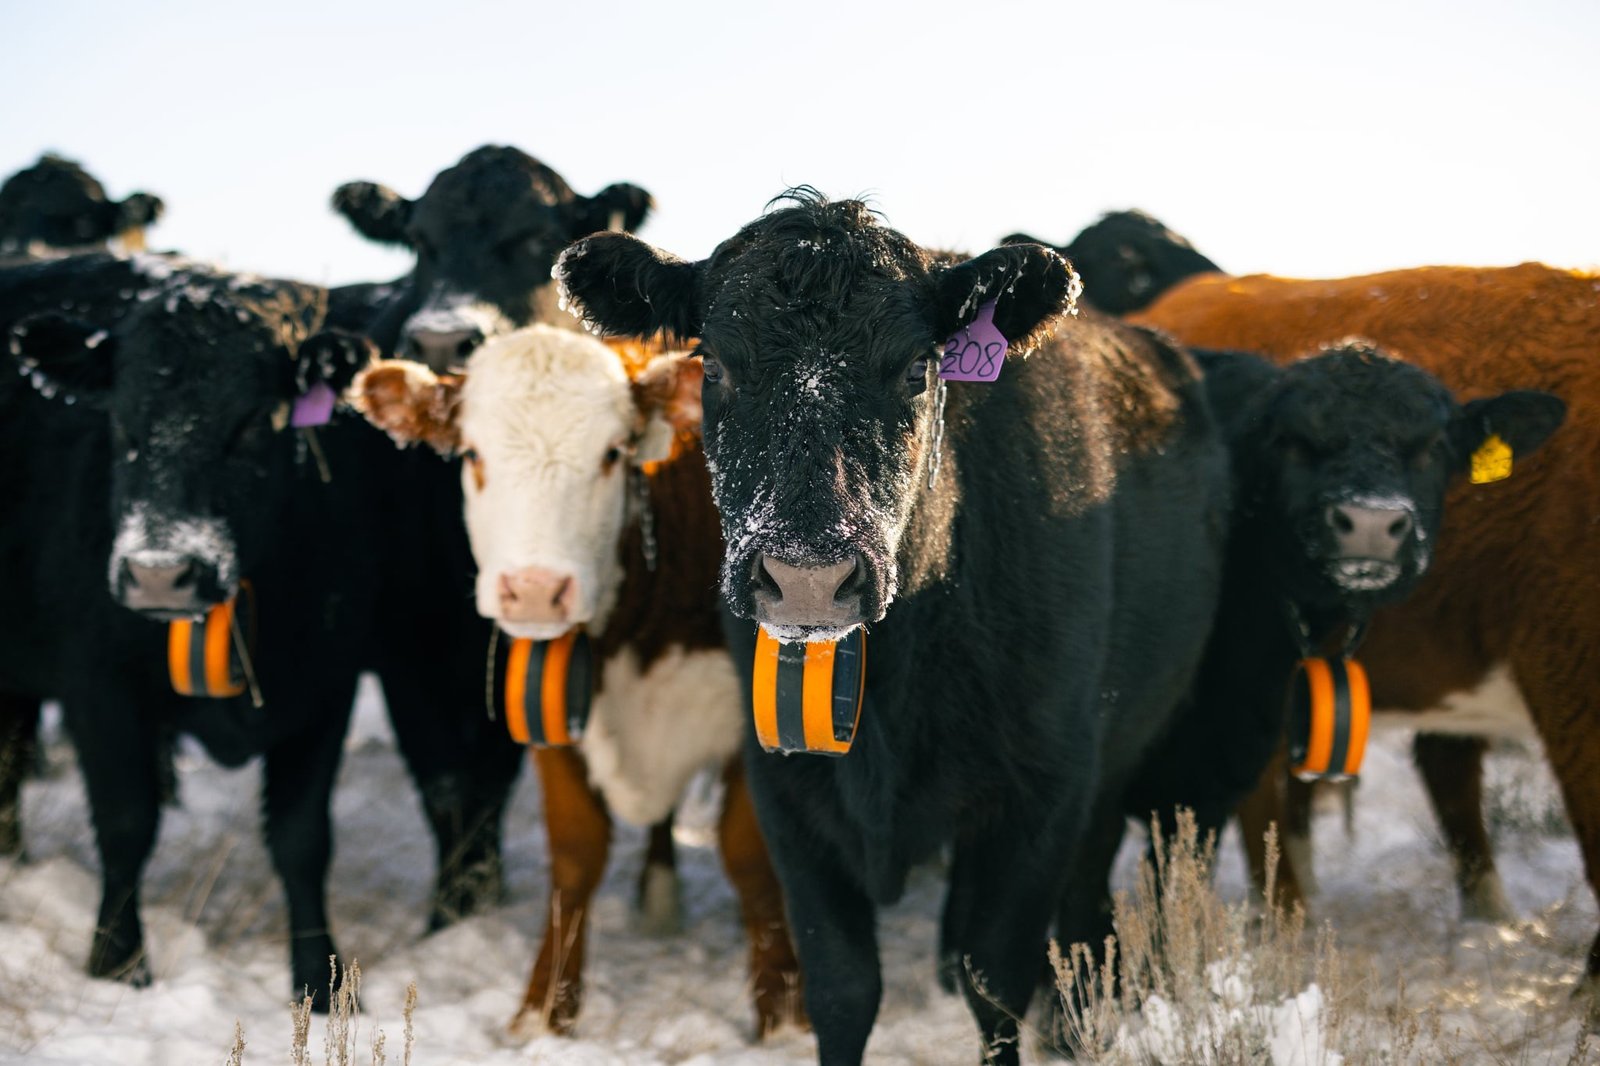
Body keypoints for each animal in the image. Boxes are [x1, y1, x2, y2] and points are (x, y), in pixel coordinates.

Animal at [0, 251, 386, 1004]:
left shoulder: (327, 684)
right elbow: (126, 824)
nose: (159, 572)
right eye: (122, 425)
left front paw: (319, 980)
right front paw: (118, 964)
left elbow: (302, 838)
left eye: (252, 424)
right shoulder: (98, 687)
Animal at [321, 146, 660, 929]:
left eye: (537, 240)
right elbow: (447, 780)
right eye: (419, 241)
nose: (442, 338)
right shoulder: (404, 636)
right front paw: (454, 912)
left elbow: (490, 774)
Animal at [349, 326, 805, 1038]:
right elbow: (575, 854)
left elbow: (751, 856)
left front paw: (782, 1014)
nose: (537, 589)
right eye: (472, 453)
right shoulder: (548, 703)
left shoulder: (753, 716)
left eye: (613, 453)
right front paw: (543, 1011)